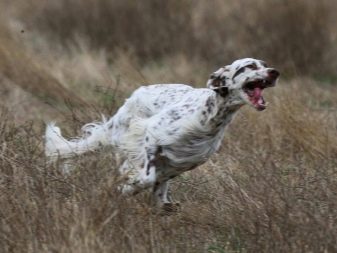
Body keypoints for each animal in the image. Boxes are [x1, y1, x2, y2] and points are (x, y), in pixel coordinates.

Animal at [45, 57, 278, 211]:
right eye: (249, 66)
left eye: (265, 64)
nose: (274, 72)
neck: (209, 116)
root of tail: (132, 98)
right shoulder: (151, 137)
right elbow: (145, 177)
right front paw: (126, 187)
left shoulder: (182, 161)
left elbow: (157, 182)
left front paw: (158, 202)